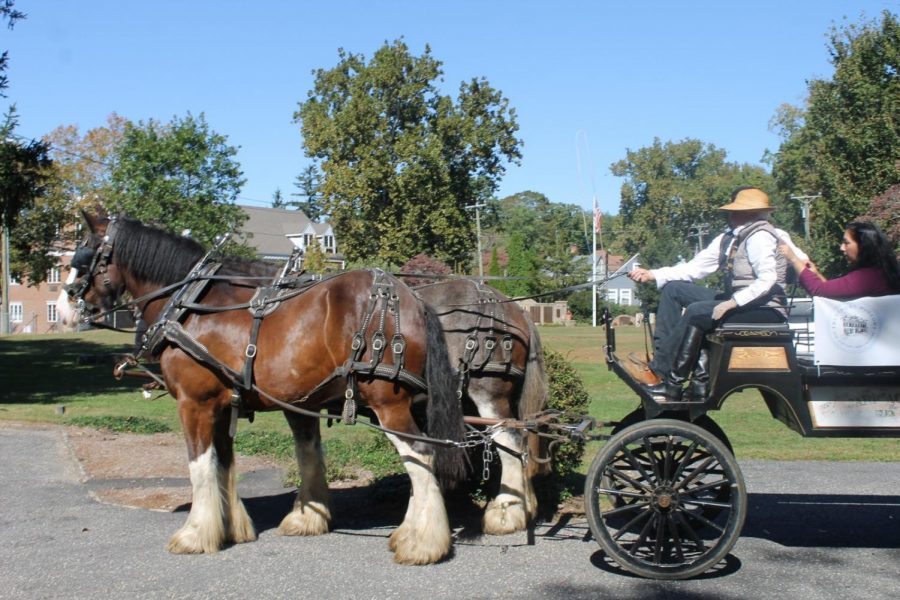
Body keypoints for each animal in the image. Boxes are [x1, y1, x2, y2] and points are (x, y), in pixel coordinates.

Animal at [63, 213, 468, 564]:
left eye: (84, 251)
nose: (67, 304)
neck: (189, 305)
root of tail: (412, 298)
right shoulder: (222, 404)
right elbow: (223, 464)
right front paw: (230, 528)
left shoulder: (194, 402)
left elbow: (199, 465)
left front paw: (194, 534)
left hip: (388, 402)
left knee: (420, 456)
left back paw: (422, 543)